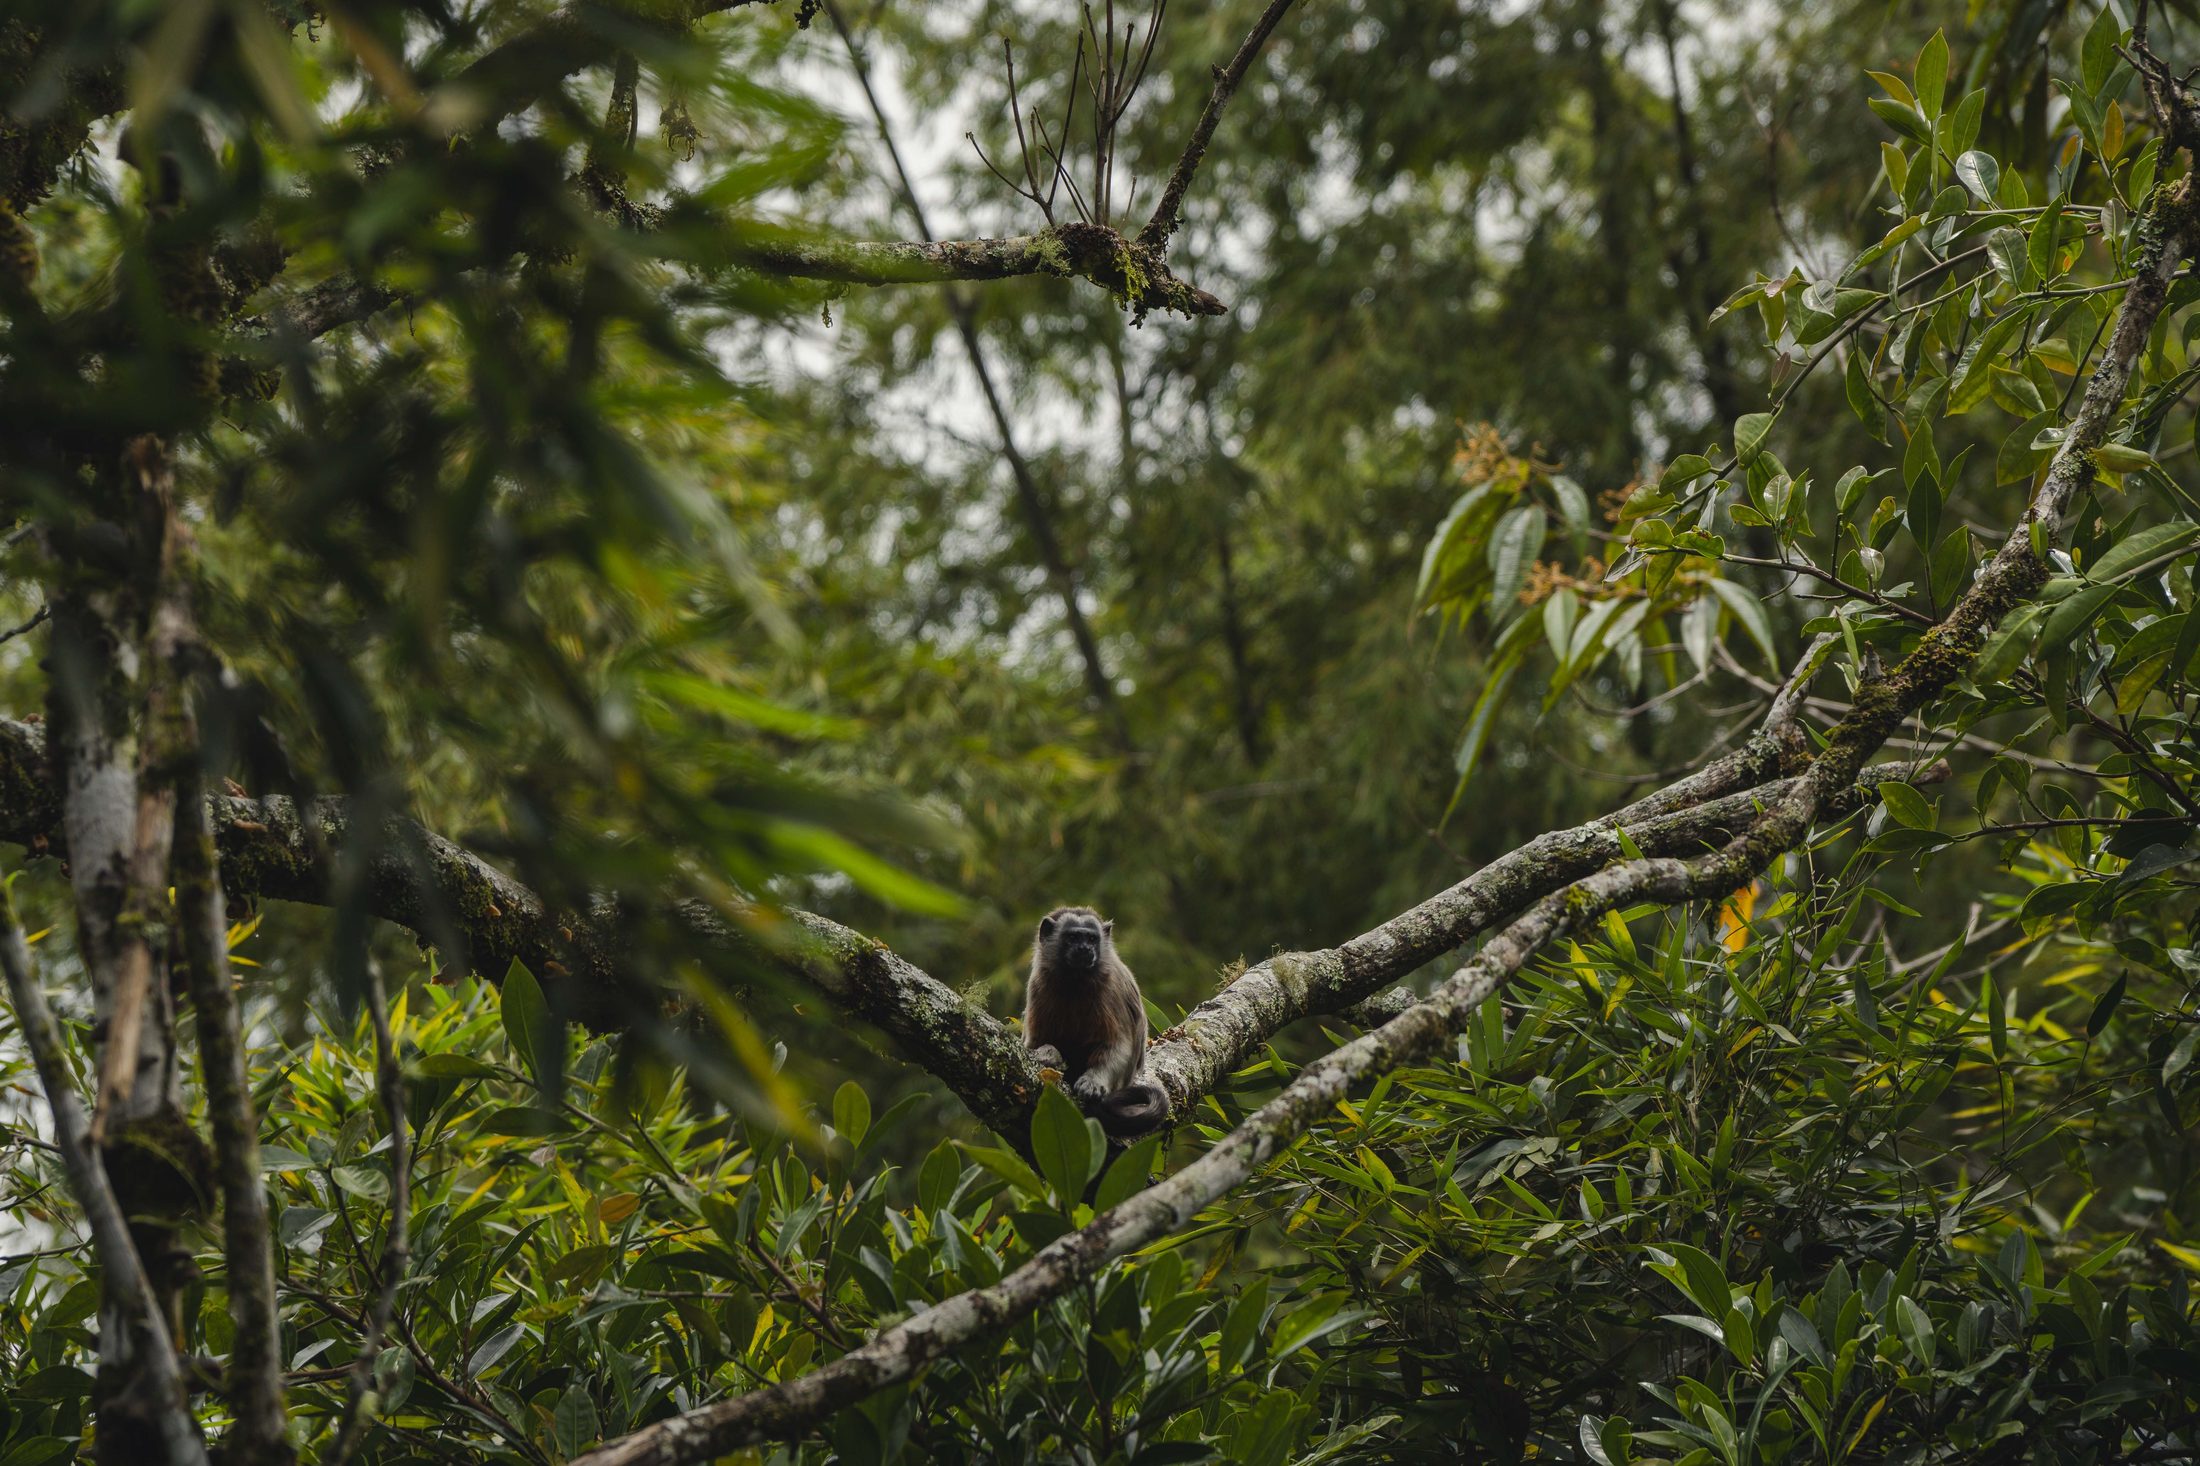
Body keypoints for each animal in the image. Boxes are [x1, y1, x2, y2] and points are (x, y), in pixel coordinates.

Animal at [1022, 906, 1170, 1137]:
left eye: (1092, 939)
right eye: (1073, 937)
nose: (1085, 949)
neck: (1076, 980)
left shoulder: (1112, 989)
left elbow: (1119, 1045)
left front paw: (1093, 1081)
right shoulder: (1038, 984)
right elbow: (1035, 1044)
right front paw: (1047, 1054)